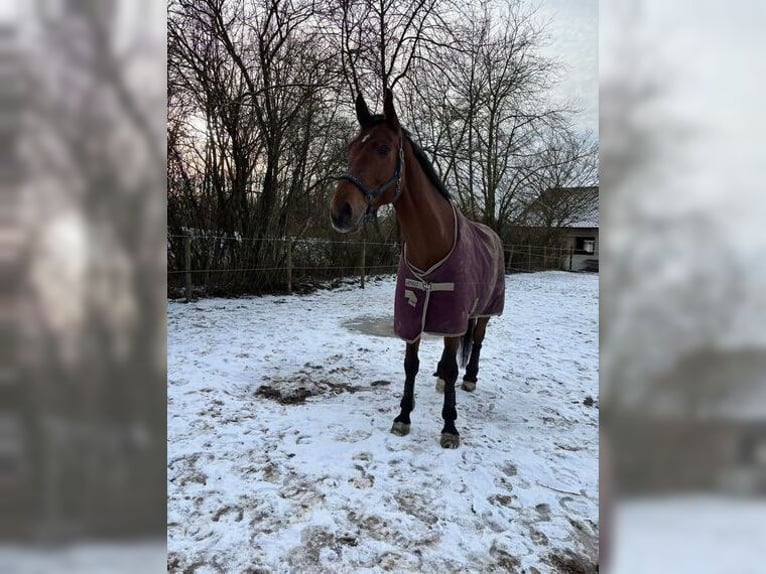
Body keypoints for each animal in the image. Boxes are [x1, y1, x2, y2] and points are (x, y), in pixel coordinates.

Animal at [332, 89, 508, 450]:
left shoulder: (453, 314)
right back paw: (440, 377)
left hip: (484, 310)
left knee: (477, 342)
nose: (340, 210)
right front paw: (403, 416)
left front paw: (450, 426)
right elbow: (410, 364)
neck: (431, 241)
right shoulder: (413, 314)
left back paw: (470, 379)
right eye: (351, 149)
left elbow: (454, 364)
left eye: (383, 148)